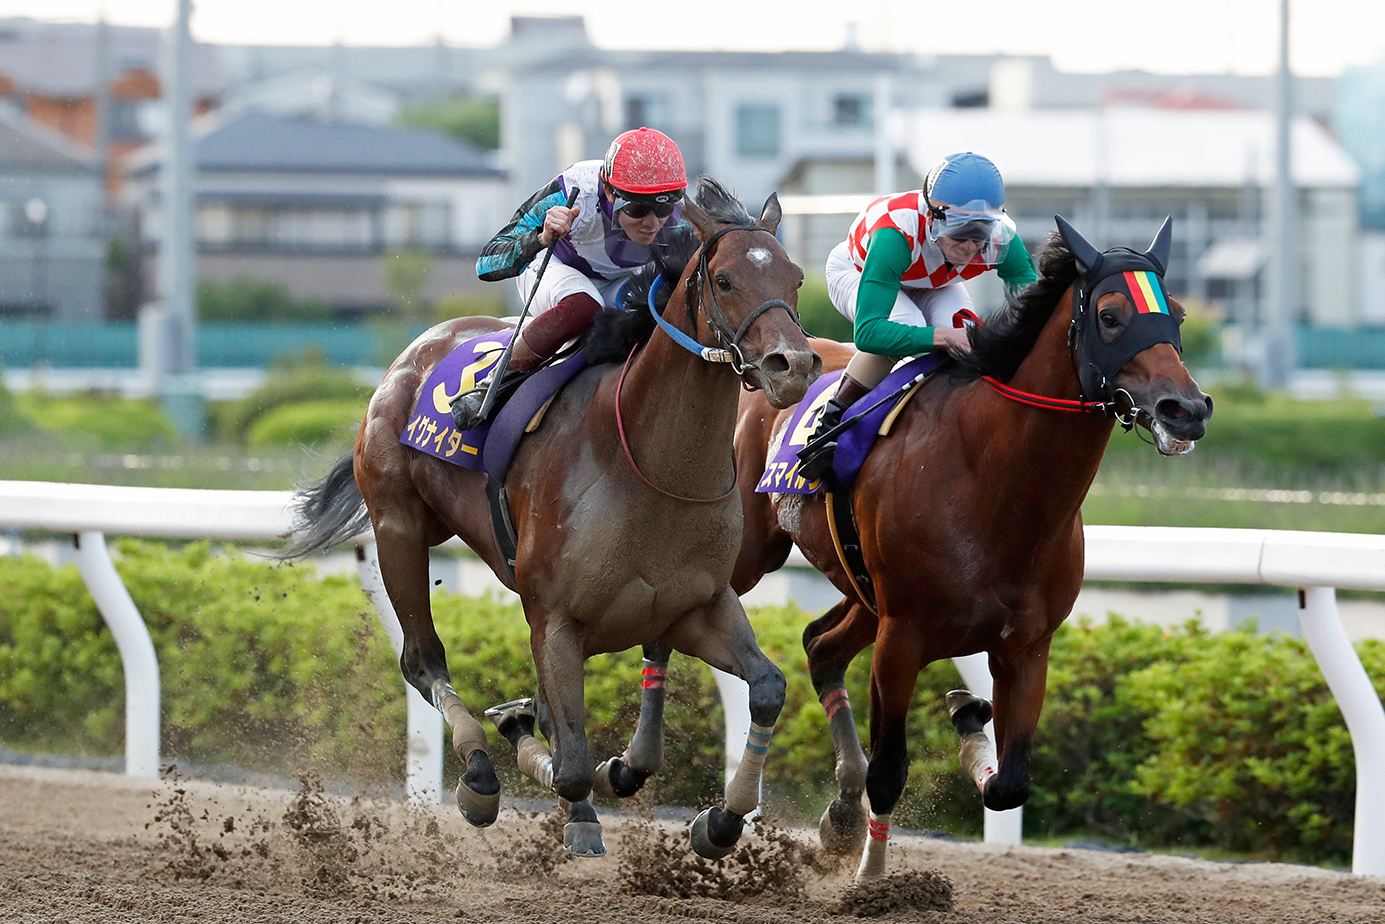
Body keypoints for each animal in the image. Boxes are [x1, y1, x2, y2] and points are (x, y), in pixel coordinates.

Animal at [282, 178, 819, 858]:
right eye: (723, 280)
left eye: (795, 277)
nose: (792, 366)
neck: (650, 464)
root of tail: (416, 350)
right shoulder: (555, 618)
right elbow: (570, 765)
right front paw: (569, 796)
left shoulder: (696, 605)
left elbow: (767, 689)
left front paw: (719, 820)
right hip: (398, 525)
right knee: (422, 660)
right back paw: (480, 773)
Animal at [725, 214, 1213, 881]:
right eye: (1110, 316)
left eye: (1179, 316)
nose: (1185, 409)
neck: (996, 487)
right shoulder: (902, 640)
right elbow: (890, 771)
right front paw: (871, 879)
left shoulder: (1026, 647)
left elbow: (1009, 783)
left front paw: (968, 717)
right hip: (753, 554)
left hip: (863, 589)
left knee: (821, 645)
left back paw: (841, 812)